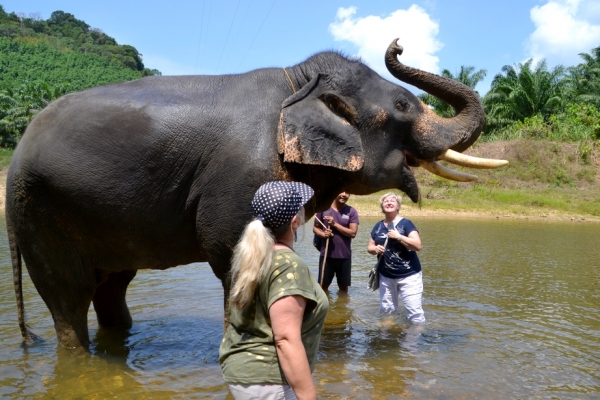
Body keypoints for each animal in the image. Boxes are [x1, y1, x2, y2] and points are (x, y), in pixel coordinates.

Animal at [8, 39, 506, 348]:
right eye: (402, 105)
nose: (398, 44)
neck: (297, 80)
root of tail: (14, 155)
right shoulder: (240, 178)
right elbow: (229, 251)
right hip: (41, 213)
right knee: (69, 297)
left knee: (112, 287)